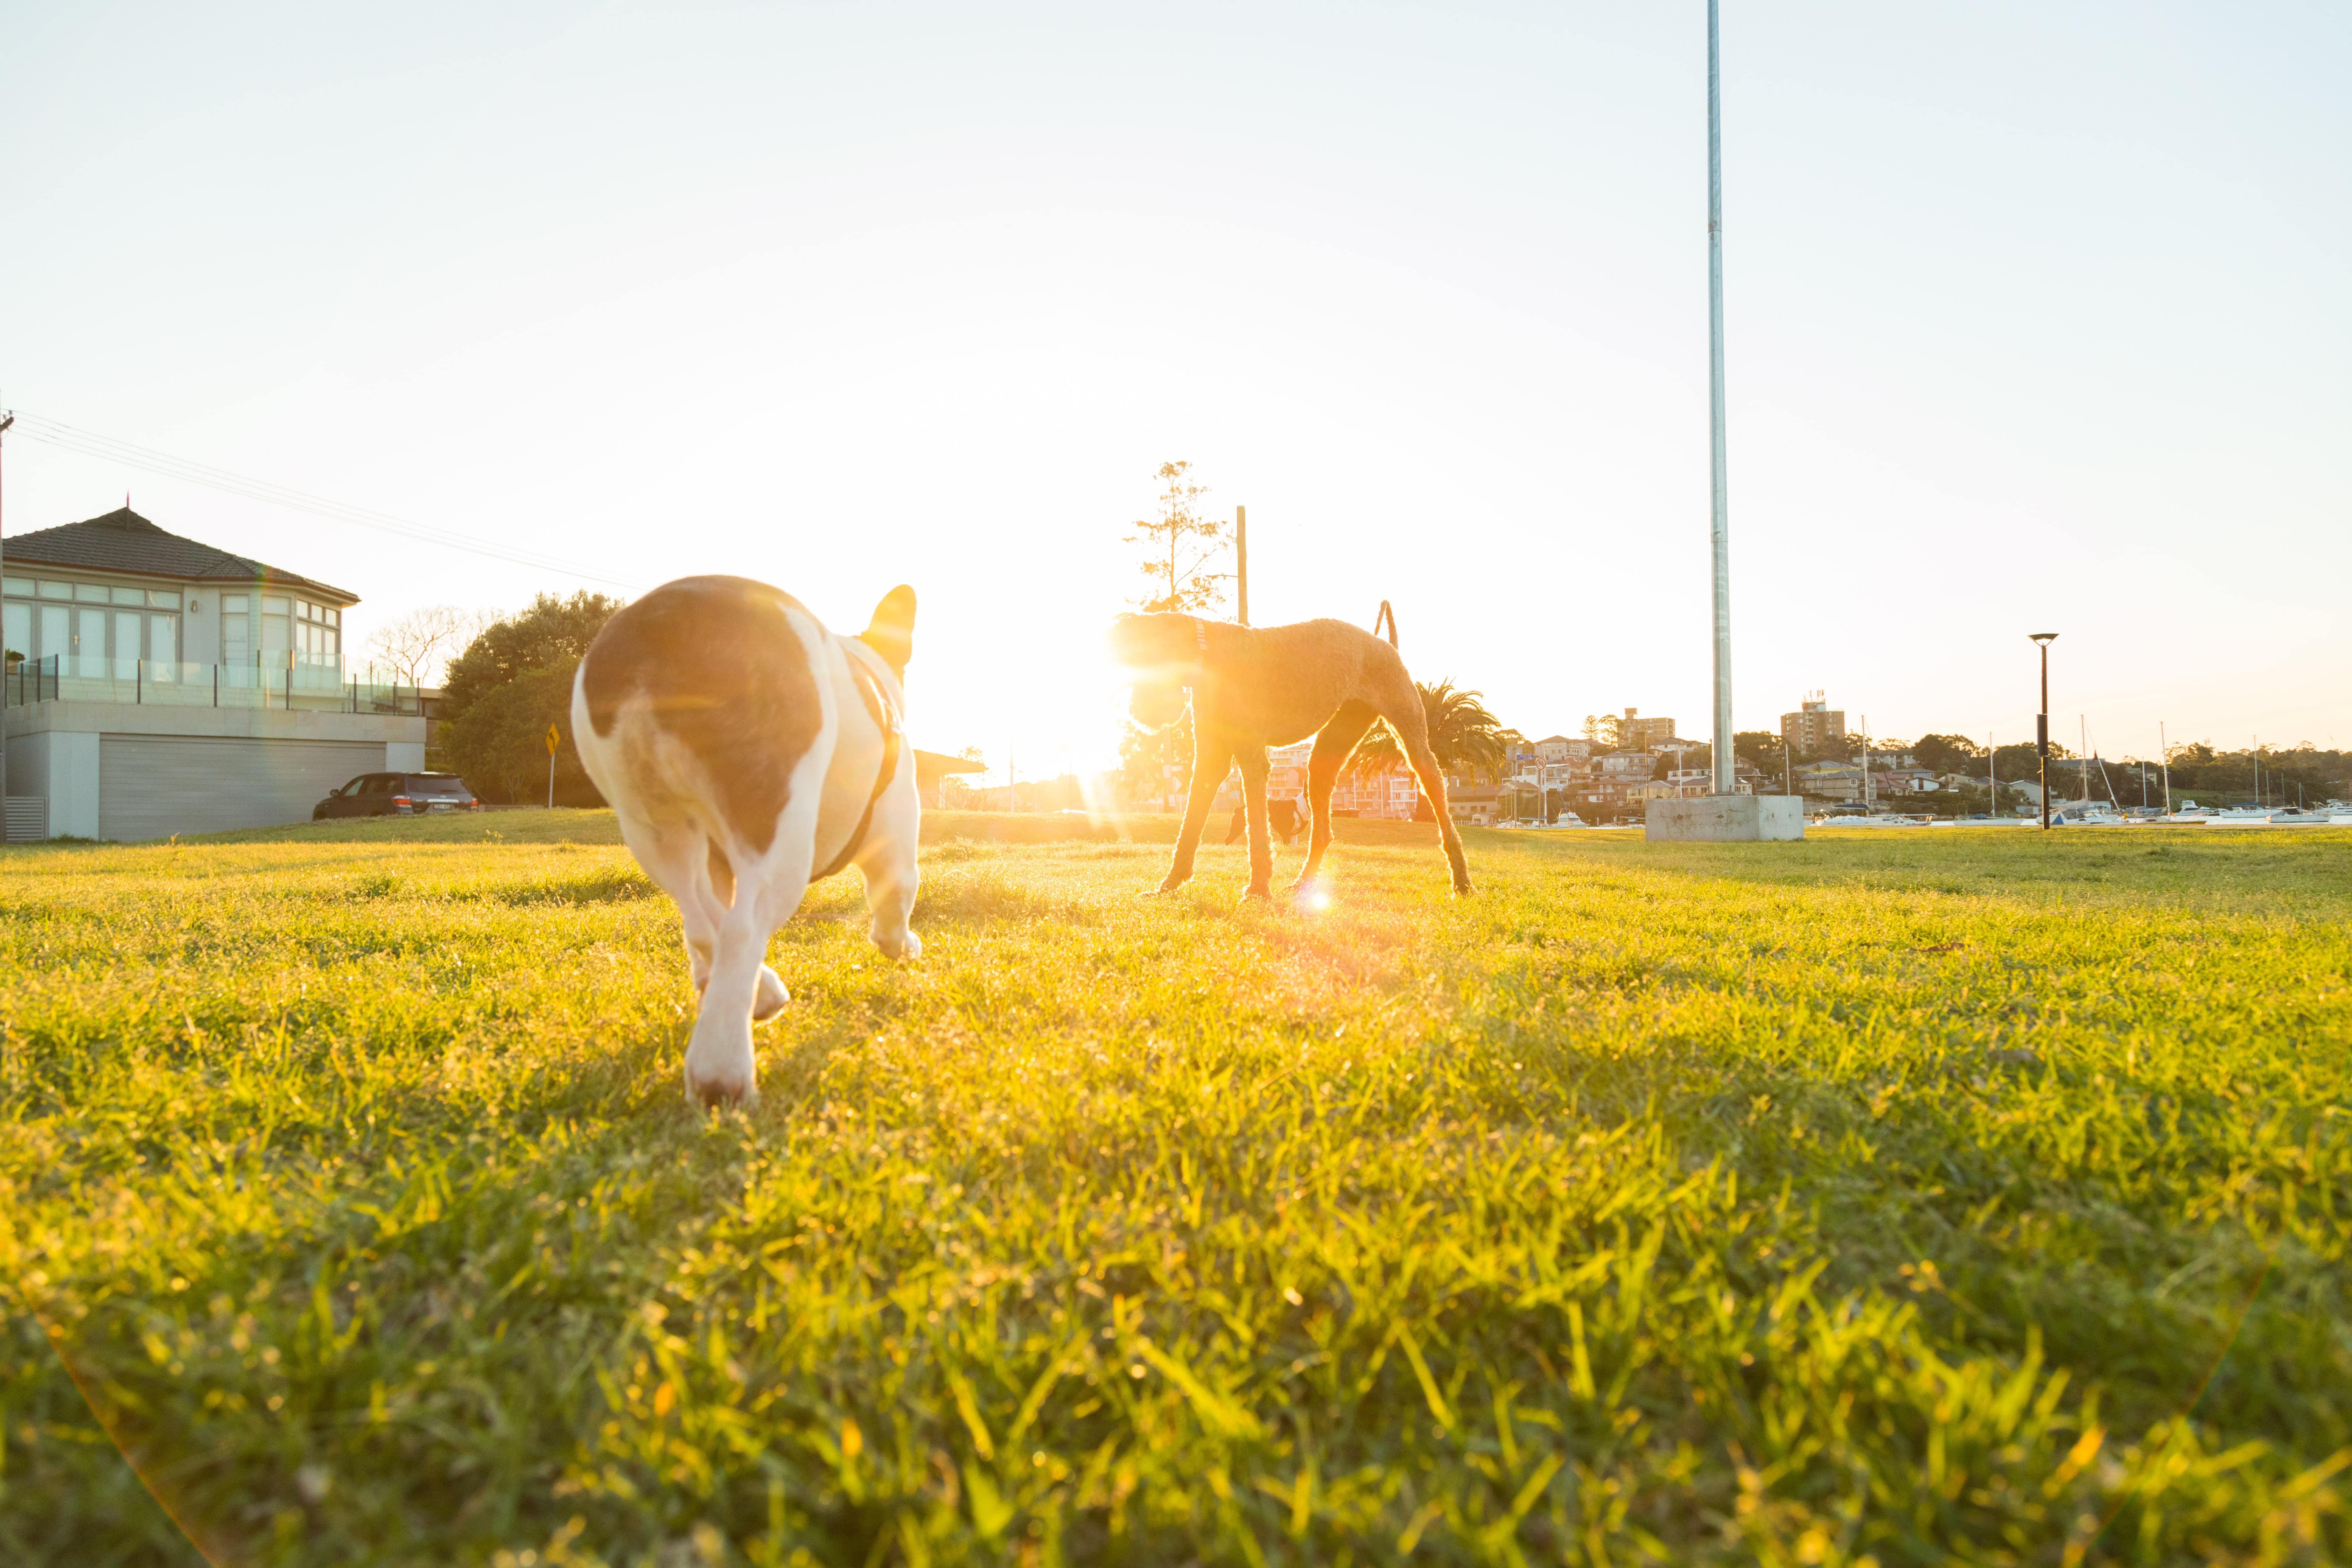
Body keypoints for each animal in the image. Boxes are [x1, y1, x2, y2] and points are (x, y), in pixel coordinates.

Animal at [574, 576, 922, 1105]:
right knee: (742, 928)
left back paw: (754, 990)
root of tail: (664, 618)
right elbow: (895, 904)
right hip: (777, 822)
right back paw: (722, 1069)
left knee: (700, 917)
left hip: (652, 823)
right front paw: (902, 945)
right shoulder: (896, 843)